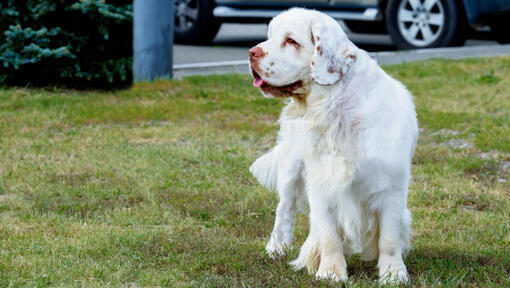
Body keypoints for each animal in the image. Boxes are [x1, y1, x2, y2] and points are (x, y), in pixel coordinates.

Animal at [247, 8, 418, 284]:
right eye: (270, 36)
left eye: (291, 41)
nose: (252, 52)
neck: (336, 110)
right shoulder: (322, 182)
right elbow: (329, 235)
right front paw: (330, 272)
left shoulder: (390, 187)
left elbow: (389, 239)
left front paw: (393, 274)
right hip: (291, 168)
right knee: (285, 208)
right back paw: (276, 248)